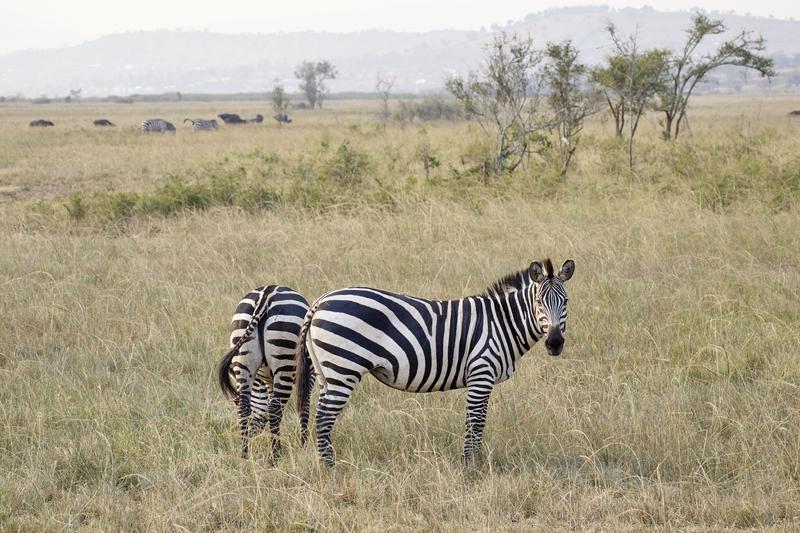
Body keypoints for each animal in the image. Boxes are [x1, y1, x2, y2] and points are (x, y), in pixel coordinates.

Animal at [217, 284, 314, 460]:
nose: (254, 436)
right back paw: (275, 455)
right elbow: (304, 407)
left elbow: (264, 409)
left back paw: (244, 454)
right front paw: (304, 446)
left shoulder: (266, 380)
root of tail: (266, 294)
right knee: (275, 409)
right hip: (285, 360)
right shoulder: (308, 377)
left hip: (243, 359)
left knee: (244, 407)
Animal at [296, 258, 576, 466]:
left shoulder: (482, 379)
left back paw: (324, 463)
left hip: (327, 373)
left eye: (565, 302)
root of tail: (321, 301)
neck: (502, 322)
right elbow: (475, 422)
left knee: (320, 416)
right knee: (323, 418)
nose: (554, 343)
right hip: (344, 369)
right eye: (538, 302)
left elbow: (477, 422)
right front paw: (470, 467)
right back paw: (330, 468)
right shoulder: (481, 373)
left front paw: (472, 463)